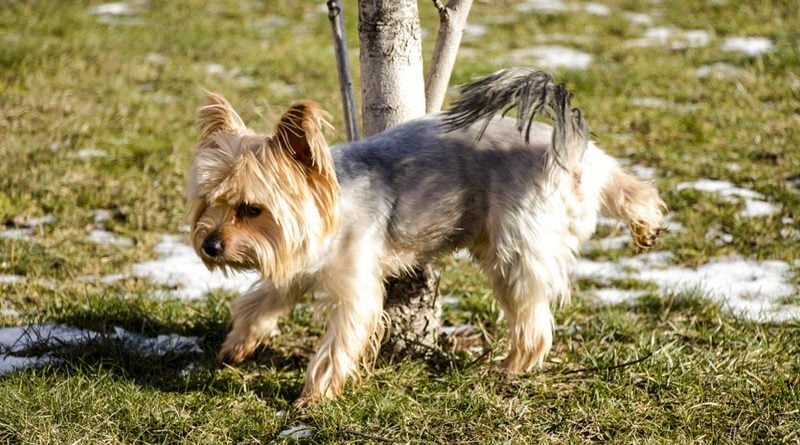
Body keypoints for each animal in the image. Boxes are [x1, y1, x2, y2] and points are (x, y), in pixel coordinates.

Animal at [189, 67, 668, 404]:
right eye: (209, 202)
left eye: (251, 209)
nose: (210, 246)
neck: (330, 207)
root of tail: (564, 150)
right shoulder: (294, 260)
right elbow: (258, 301)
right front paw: (236, 346)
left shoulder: (352, 283)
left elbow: (340, 340)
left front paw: (314, 395)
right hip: (584, 179)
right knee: (628, 184)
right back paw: (646, 223)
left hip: (514, 246)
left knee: (532, 321)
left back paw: (511, 368)